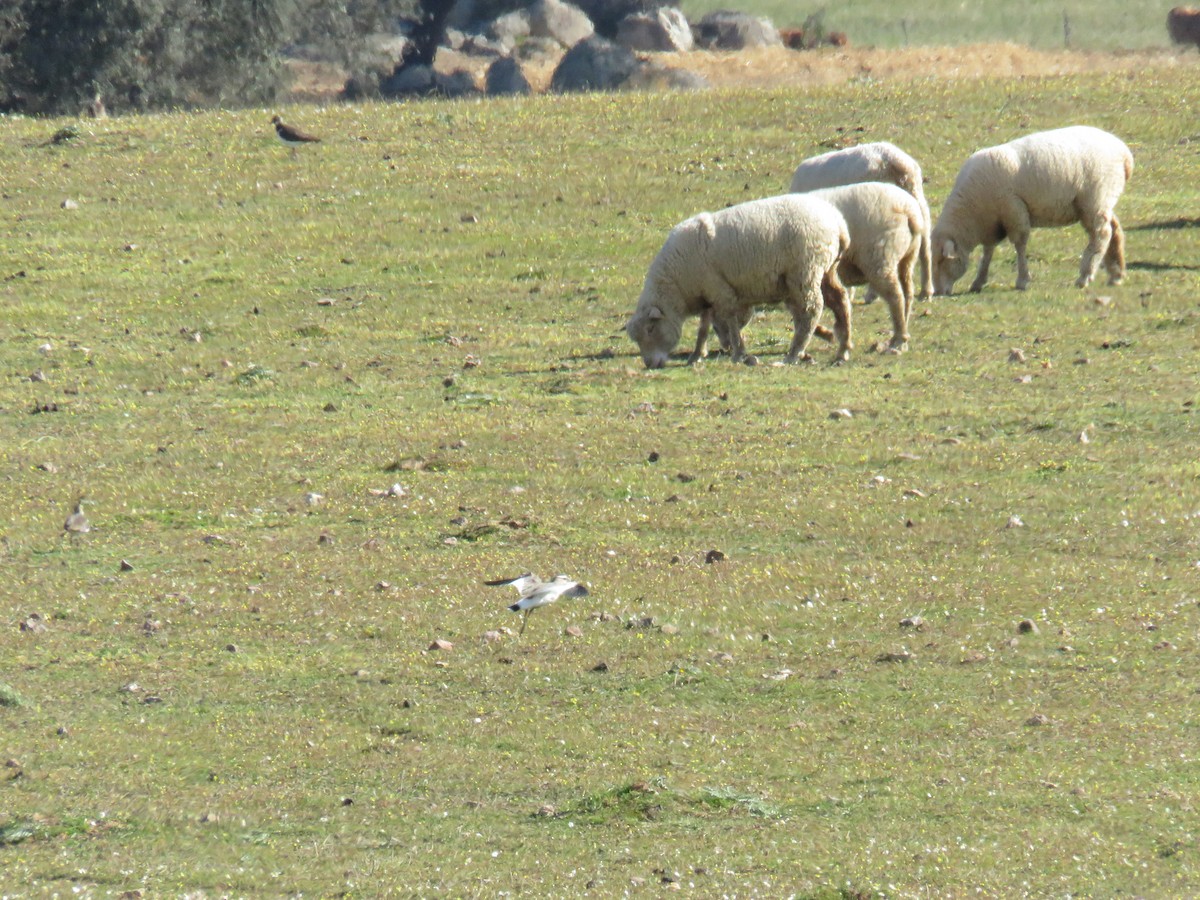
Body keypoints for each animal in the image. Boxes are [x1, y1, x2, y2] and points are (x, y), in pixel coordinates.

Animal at [628, 194, 854, 369]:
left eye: (650, 329)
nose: (650, 364)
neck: (677, 284)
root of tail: (838, 224)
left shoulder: (719, 289)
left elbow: (730, 321)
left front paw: (738, 353)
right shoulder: (708, 292)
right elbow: (704, 326)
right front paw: (696, 355)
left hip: (805, 271)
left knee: (811, 310)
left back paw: (793, 355)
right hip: (827, 270)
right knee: (841, 300)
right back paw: (843, 349)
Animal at [926, 125, 1132, 294]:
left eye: (941, 260)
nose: (937, 293)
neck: (970, 210)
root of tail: (1124, 153)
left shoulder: (1013, 209)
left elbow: (1020, 244)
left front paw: (1022, 280)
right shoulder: (992, 222)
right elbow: (988, 250)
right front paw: (979, 281)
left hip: (1095, 199)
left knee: (1101, 234)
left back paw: (1085, 276)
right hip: (1101, 201)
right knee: (1115, 228)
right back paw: (1116, 274)